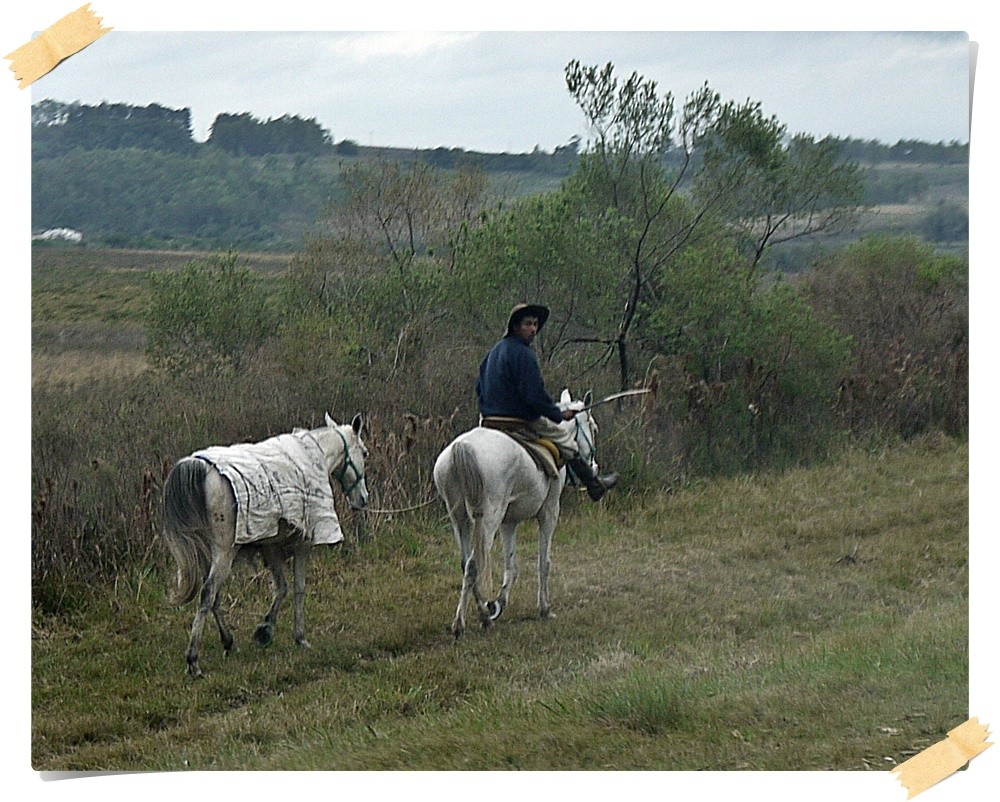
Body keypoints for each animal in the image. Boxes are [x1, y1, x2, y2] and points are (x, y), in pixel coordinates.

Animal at [162, 412, 370, 676]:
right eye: (365, 453)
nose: (362, 499)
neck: (314, 455)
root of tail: (199, 468)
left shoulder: (270, 544)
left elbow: (281, 587)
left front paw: (265, 630)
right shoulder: (303, 543)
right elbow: (298, 587)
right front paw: (299, 637)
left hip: (208, 552)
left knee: (213, 596)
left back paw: (228, 642)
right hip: (224, 552)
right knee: (208, 593)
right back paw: (193, 661)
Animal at [432, 390, 600, 636]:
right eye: (593, 428)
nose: (595, 468)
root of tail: (461, 448)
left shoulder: (508, 522)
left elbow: (511, 566)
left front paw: (499, 603)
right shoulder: (549, 512)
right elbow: (543, 561)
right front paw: (545, 609)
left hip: (460, 520)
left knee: (466, 563)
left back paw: (484, 614)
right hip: (488, 518)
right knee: (473, 564)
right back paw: (463, 623)